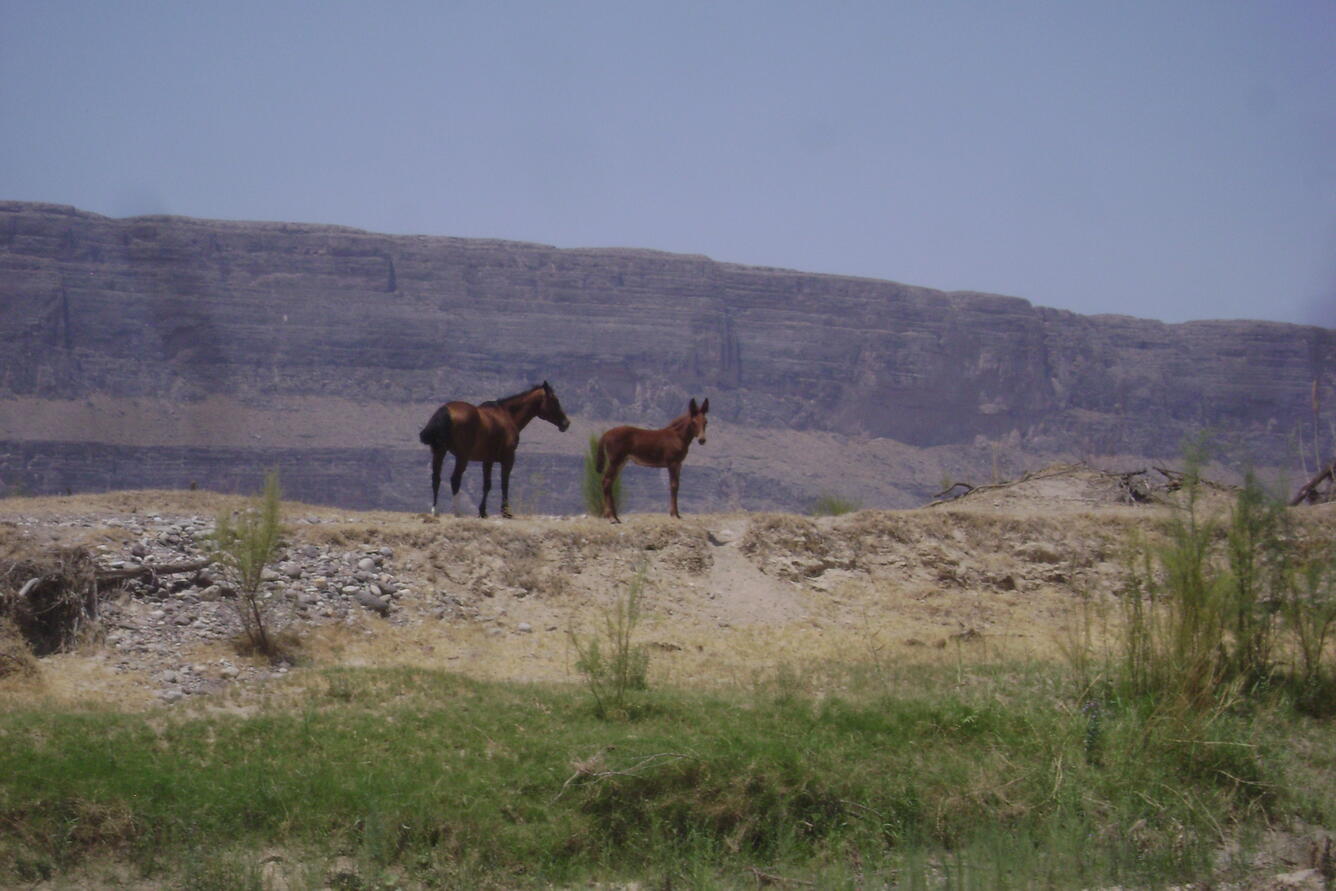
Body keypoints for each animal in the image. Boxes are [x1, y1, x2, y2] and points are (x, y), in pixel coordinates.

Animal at [418, 381, 570, 517]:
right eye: (555, 400)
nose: (566, 423)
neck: (507, 415)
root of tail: (445, 411)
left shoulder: (487, 460)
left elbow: (487, 485)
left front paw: (483, 512)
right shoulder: (508, 458)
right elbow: (504, 483)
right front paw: (506, 512)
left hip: (439, 451)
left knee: (436, 478)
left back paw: (435, 511)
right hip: (462, 457)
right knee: (455, 479)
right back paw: (457, 512)